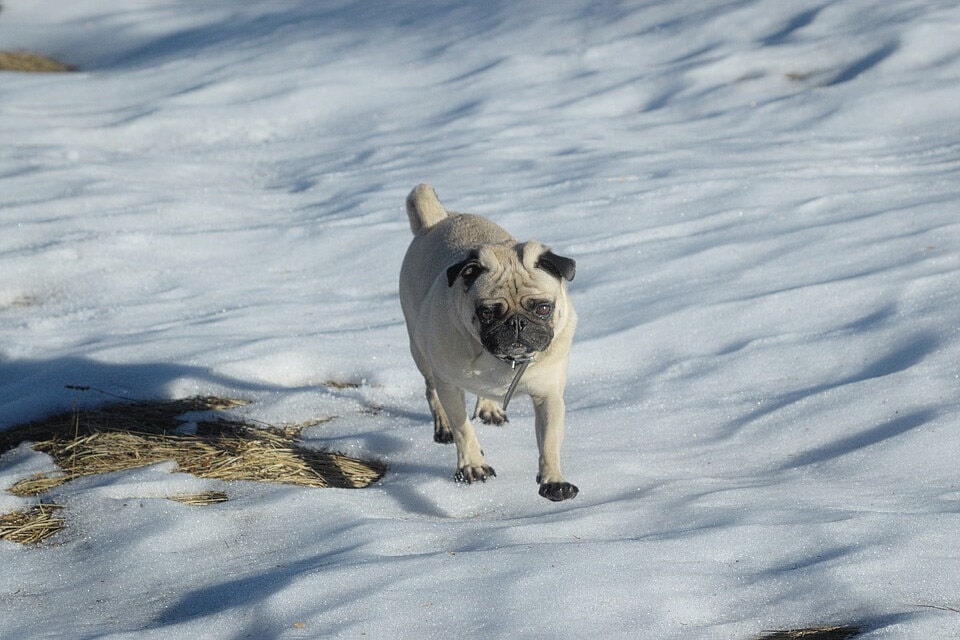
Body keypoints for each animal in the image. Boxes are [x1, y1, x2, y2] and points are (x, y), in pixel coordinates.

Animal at [398, 182, 576, 502]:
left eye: (543, 308)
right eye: (488, 312)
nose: (516, 323)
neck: (507, 362)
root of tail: (436, 220)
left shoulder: (549, 395)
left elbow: (549, 441)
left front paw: (554, 480)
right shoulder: (450, 385)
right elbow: (463, 430)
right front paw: (472, 466)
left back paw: (490, 408)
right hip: (422, 352)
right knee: (432, 391)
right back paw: (443, 427)